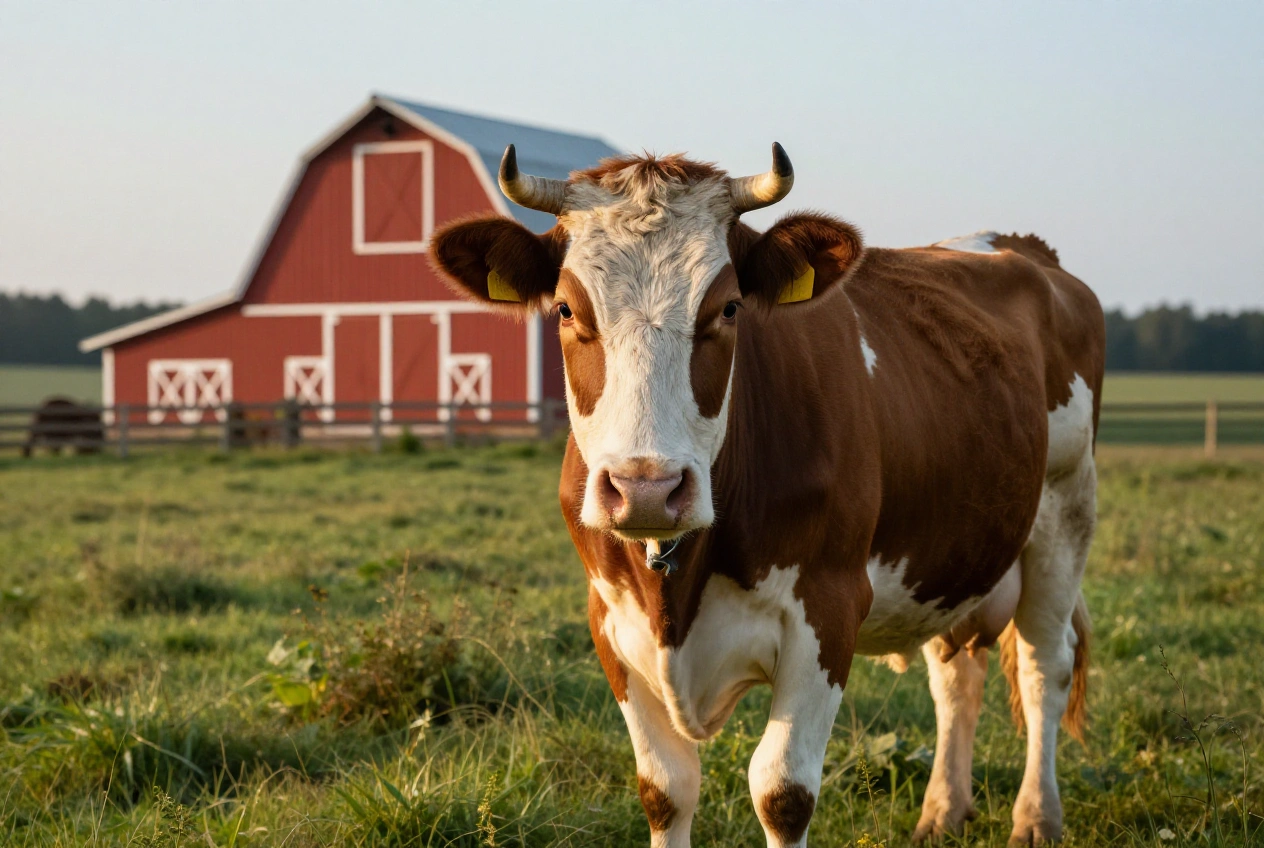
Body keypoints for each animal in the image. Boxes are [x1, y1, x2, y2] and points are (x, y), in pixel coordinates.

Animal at [431, 144, 1104, 847]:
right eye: (565, 309)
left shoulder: (829, 608)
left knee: (1045, 665)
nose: (647, 489)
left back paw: (1036, 816)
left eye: (729, 308)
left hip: (1066, 511)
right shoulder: (609, 618)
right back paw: (942, 810)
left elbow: (782, 793)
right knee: (954, 671)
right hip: (951, 552)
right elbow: (665, 789)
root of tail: (1017, 247)